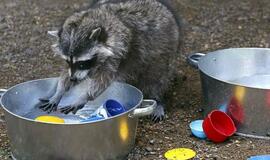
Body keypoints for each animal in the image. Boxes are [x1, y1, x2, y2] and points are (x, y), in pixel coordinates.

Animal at [38, 0, 180, 120]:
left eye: (82, 63)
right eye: (68, 61)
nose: (73, 79)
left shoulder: (119, 50)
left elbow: (104, 78)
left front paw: (84, 96)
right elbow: (68, 73)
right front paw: (58, 92)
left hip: (165, 47)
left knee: (157, 76)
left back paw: (158, 99)